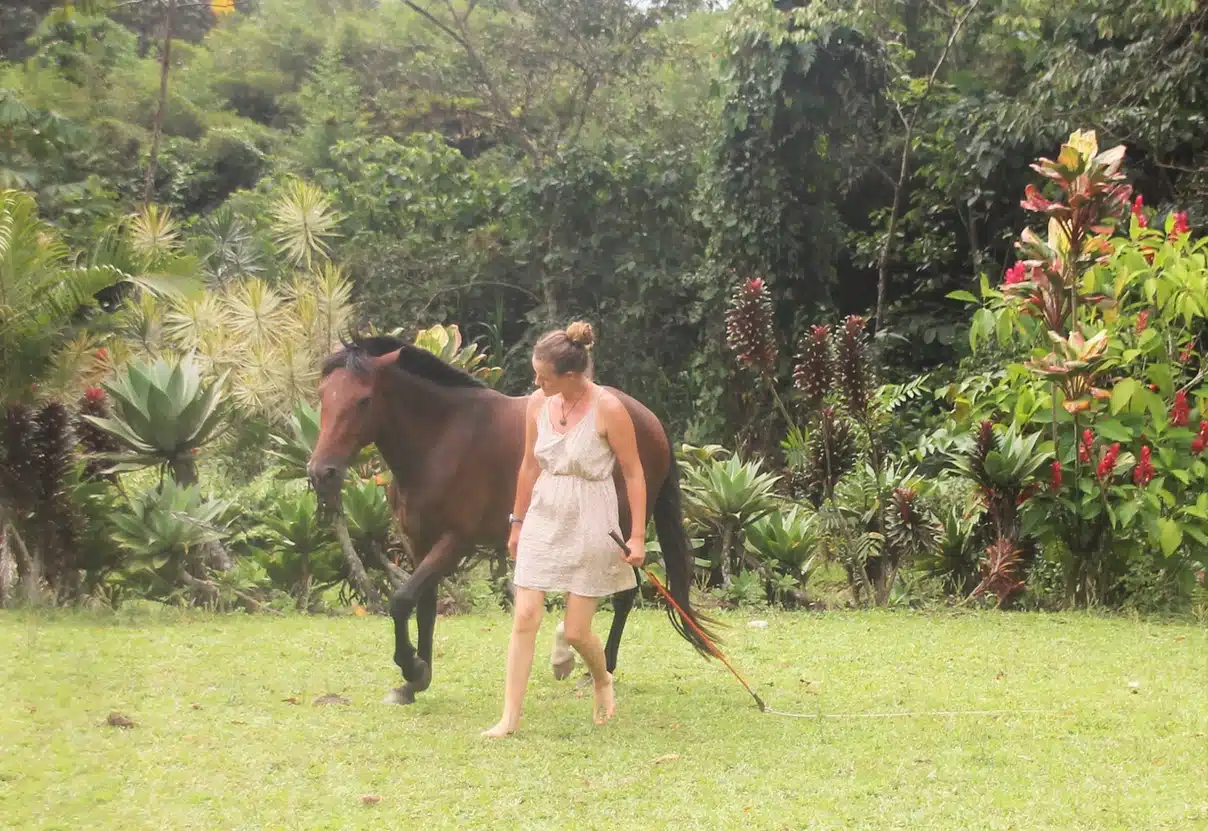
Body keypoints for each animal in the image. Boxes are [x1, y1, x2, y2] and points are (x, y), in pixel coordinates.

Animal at [306, 333, 710, 705]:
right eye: (323, 396)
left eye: (363, 400)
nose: (321, 472)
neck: (441, 438)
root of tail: (649, 418)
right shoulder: (420, 542)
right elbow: (424, 607)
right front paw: (415, 680)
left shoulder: (455, 541)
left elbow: (402, 600)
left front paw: (411, 668)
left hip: (619, 533)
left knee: (623, 594)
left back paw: (600, 669)